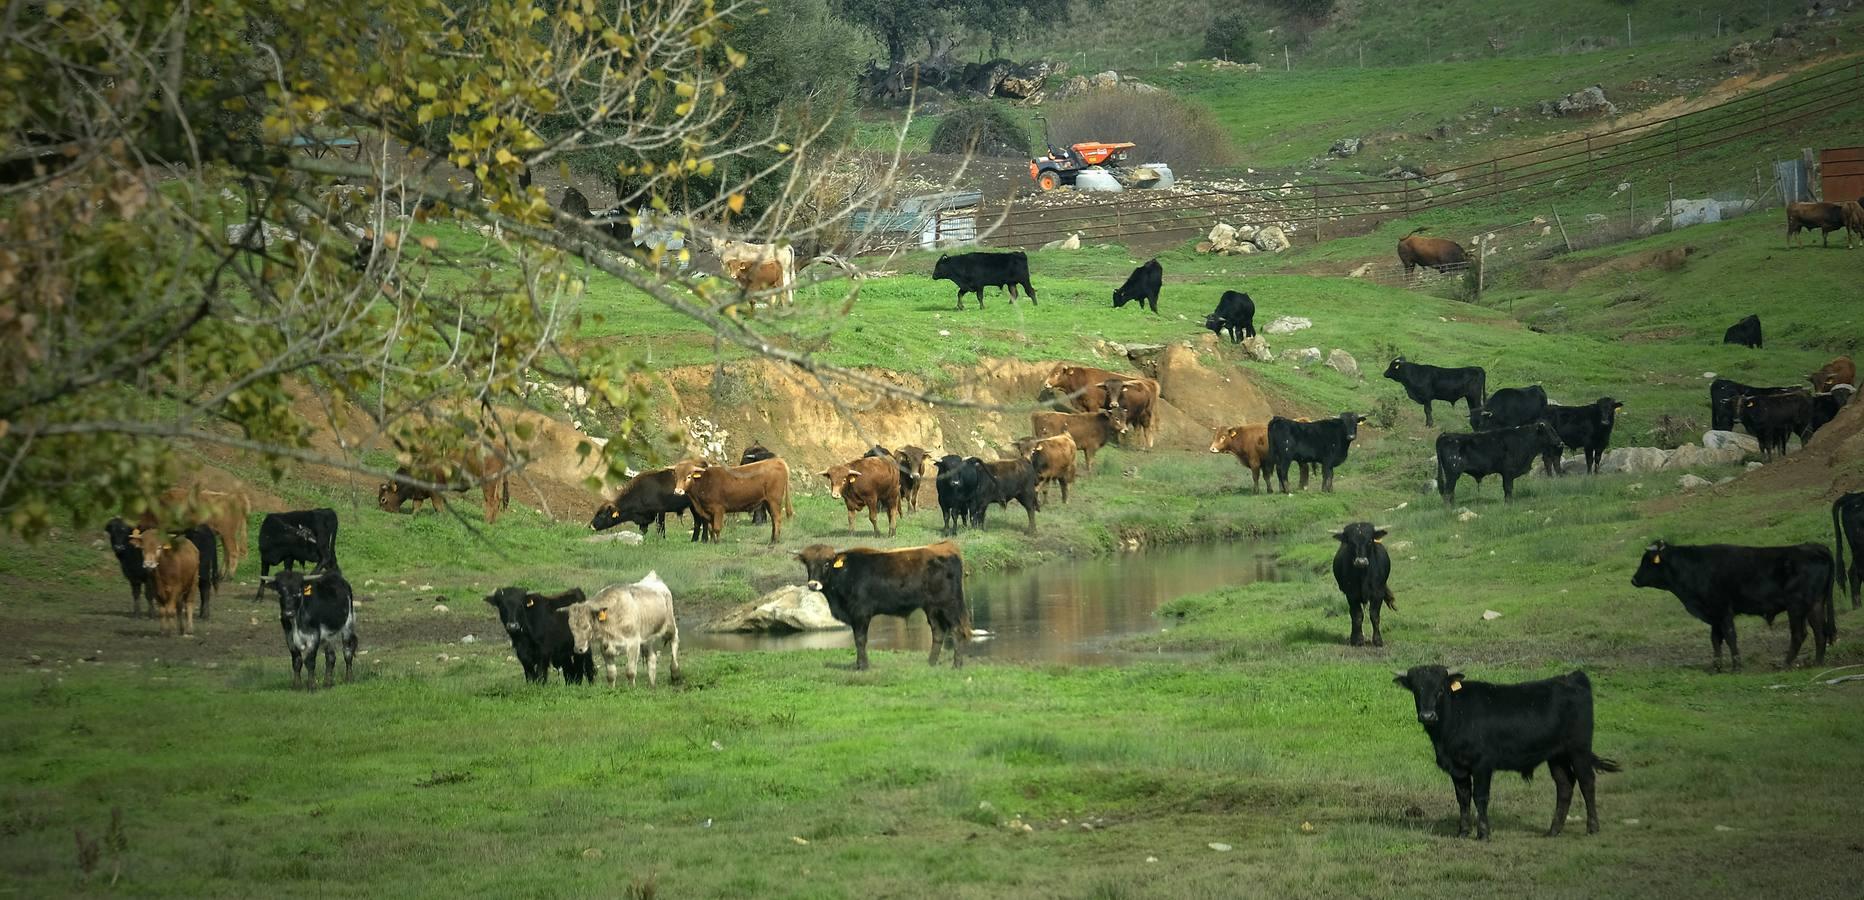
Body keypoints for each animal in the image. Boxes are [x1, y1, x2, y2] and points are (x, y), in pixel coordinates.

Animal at [376, 454, 510, 525]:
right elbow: (416, 505)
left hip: (488, 485)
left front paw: (442, 516)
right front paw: (413, 516)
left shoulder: (435, 491)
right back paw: (492, 522)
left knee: (491, 501)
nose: (382, 510)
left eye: (383, 499)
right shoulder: (419, 492)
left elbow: (437, 505)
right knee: (497, 501)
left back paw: (486, 521)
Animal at [801, 540, 976, 674]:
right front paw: (859, 665)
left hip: (949, 605)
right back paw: (931, 663)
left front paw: (863, 666)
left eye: (826, 563)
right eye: (808, 564)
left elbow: (860, 639)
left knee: (957, 630)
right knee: (938, 632)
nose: (812, 584)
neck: (846, 574)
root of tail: (945, 546)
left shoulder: (861, 613)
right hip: (932, 608)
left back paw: (956, 665)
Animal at [1401, 667, 1617, 842]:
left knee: (1587, 782)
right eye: (1417, 690)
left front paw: (1483, 834)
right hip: (1557, 756)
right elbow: (1463, 798)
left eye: (1440, 690)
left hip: (1579, 750)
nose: (1428, 716)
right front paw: (1462, 832)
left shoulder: (1482, 765)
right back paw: (1553, 830)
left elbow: (1480, 797)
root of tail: (1572, 677)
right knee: (1565, 785)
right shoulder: (1458, 768)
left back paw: (1592, 827)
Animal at [1431, 422, 1565, 506]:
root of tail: (1445, 435)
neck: (1523, 440)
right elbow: (1508, 489)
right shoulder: (1508, 472)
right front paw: (1509, 504)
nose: (1561, 442)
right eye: (1549, 431)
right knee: (1448, 492)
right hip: (1452, 474)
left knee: (1450, 492)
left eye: (1553, 429)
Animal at [1632, 540, 1834, 674]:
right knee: (1820, 633)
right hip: (1815, 605)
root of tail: (1814, 547)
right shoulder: (1713, 615)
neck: (1694, 567)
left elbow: (1730, 637)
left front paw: (1736, 666)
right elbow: (1715, 639)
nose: (1633, 580)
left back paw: (1785, 664)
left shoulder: (1723, 611)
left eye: (1647, 561)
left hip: (1796, 606)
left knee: (1799, 634)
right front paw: (1716, 666)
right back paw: (1818, 663)